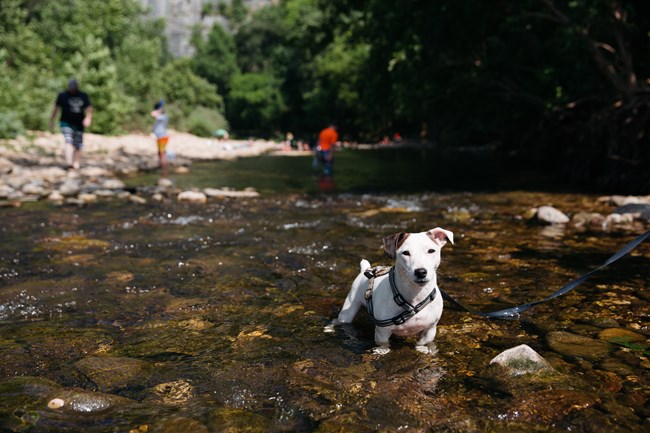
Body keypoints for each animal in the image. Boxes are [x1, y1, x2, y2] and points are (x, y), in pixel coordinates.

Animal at [326, 228, 454, 352]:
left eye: (431, 251)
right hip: (349, 309)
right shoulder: (382, 332)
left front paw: (422, 349)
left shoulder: (429, 330)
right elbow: (384, 344)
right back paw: (329, 328)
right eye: (405, 253)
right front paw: (382, 351)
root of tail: (366, 269)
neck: (414, 299)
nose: (421, 272)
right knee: (339, 320)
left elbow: (422, 343)